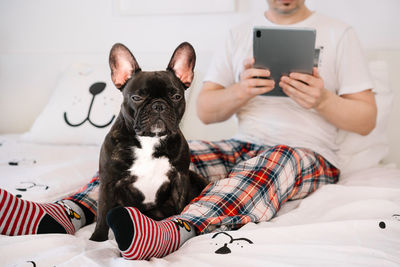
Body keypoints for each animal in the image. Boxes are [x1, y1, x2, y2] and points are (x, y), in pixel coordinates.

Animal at [90, 42, 208, 243]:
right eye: (137, 98)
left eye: (176, 96)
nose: (158, 105)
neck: (149, 140)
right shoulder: (108, 182)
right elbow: (102, 213)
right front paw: (97, 240)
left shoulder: (180, 177)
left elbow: (181, 207)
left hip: (196, 177)